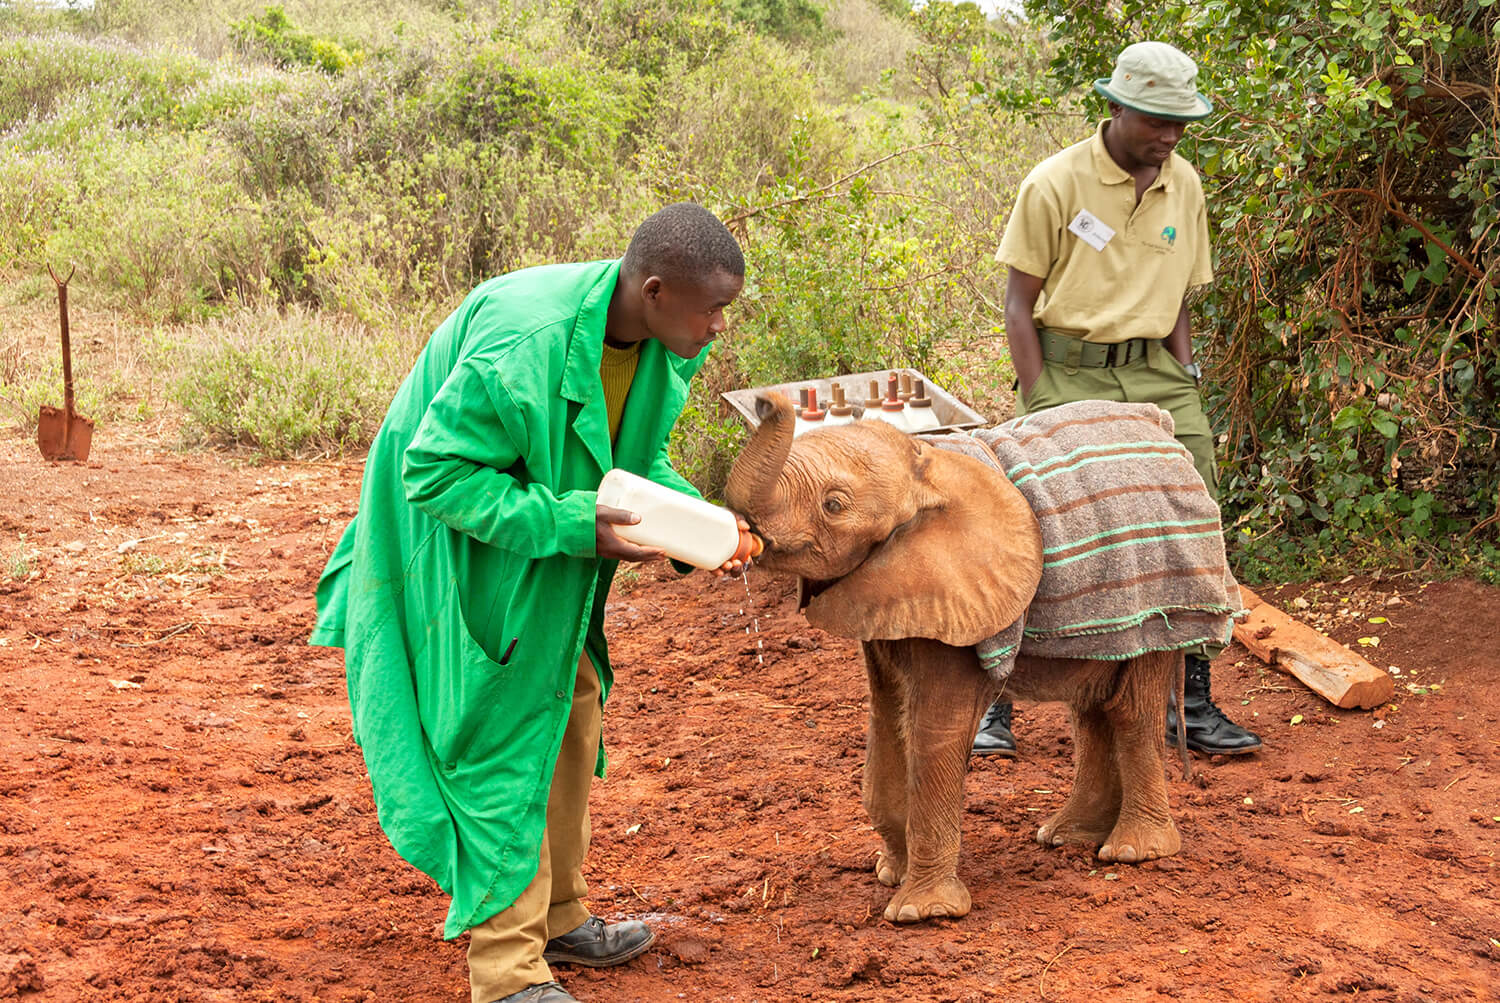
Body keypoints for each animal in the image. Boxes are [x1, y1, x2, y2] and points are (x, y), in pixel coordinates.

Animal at [724, 392, 1239, 924]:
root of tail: (1168, 434)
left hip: (1163, 600)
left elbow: (935, 729)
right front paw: (890, 875)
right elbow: (886, 719)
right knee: (1093, 708)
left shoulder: (958, 596)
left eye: (834, 504)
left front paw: (920, 913)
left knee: (1130, 708)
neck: (926, 469)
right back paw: (1066, 837)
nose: (766, 399)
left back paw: (1132, 852)